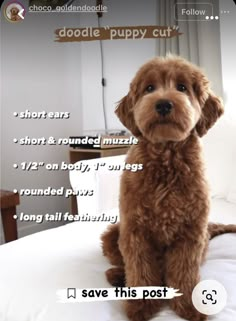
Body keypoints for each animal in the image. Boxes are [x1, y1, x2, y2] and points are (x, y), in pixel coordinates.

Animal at [101, 56, 236, 320]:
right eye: (149, 88)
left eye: (182, 87)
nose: (163, 104)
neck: (166, 157)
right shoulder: (135, 230)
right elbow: (140, 270)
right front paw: (141, 306)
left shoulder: (190, 232)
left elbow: (184, 272)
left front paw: (189, 306)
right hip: (113, 234)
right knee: (123, 262)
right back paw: (118, 276)